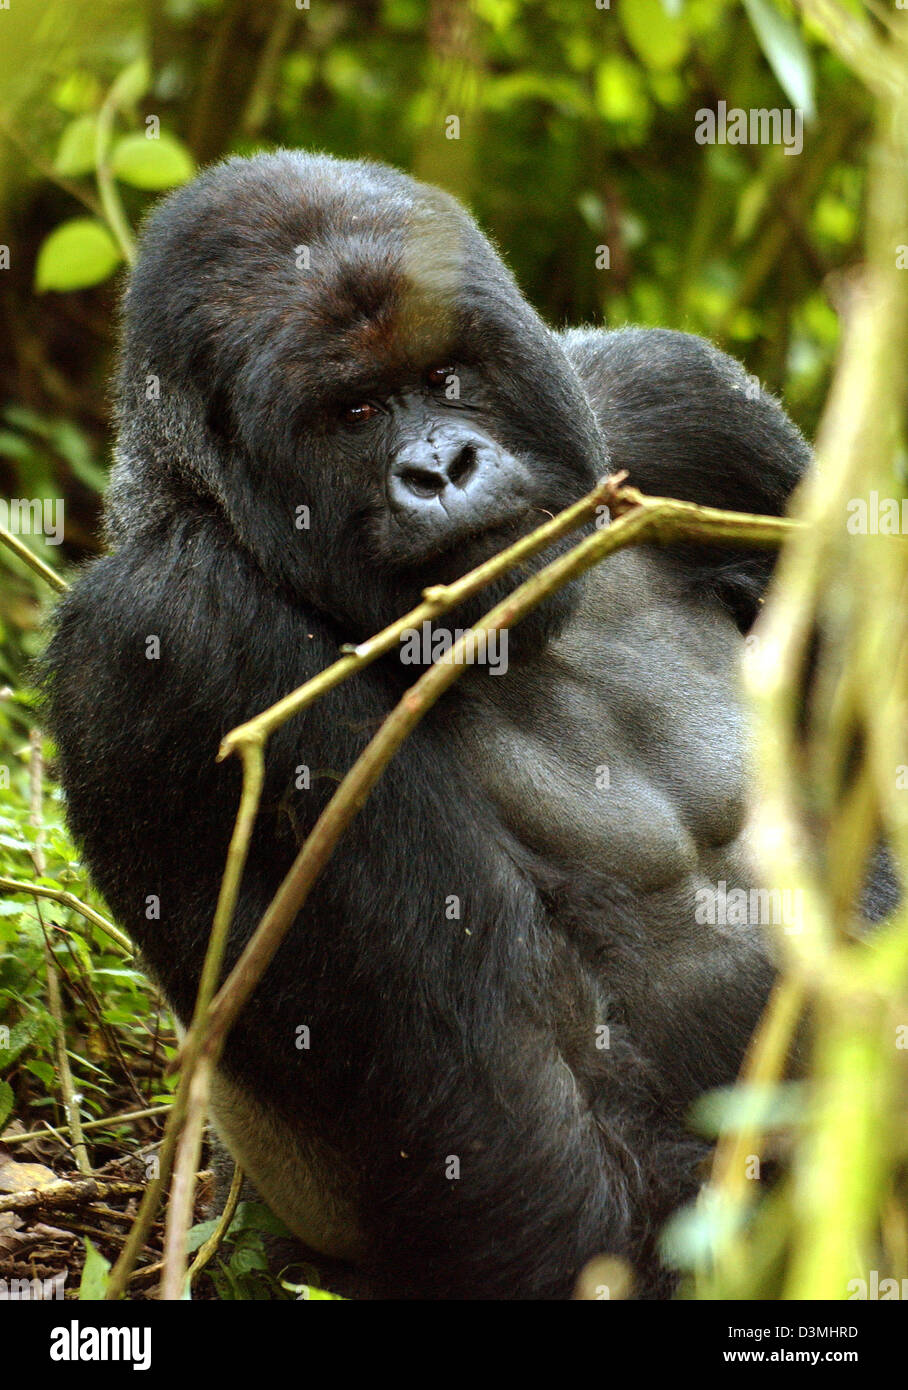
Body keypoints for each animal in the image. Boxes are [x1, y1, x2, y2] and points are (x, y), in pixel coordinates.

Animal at [44, 146, 823, 1295]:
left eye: (450, 377)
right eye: (357, 413)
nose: (442, 468)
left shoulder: (686, 404)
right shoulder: (178, 635)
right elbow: (542, 1164)